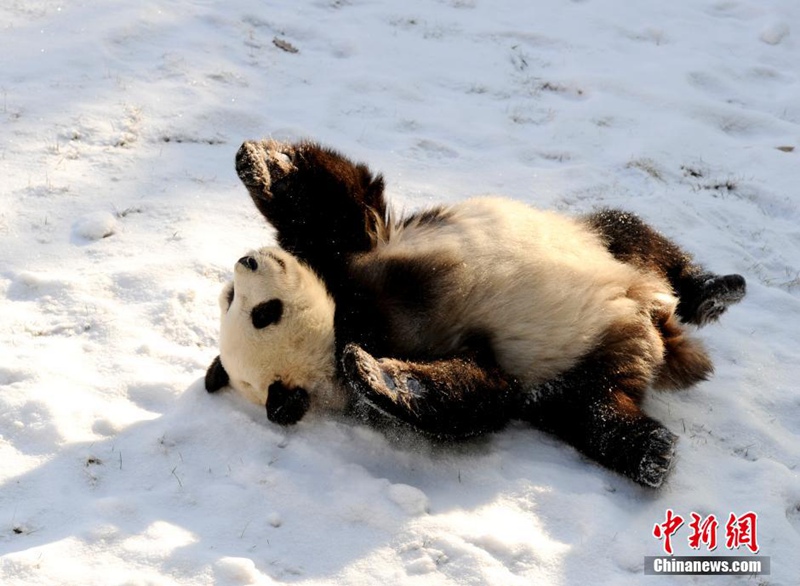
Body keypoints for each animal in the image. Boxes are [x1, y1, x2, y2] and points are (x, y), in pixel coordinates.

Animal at [206, 138, 744, 488]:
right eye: (260, 313)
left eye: (240, 301)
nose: (246, 261)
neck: (343, 321)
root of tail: (655, 330)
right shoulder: (420, 343)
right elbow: (474, 394)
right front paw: (372, 371)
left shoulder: (360, 260)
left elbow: (335, 212)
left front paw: (262, 162)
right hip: (574, 371)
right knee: (596, 409)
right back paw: (652, 454)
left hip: (602, 247)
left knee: (634, 234)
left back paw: (714, 291)